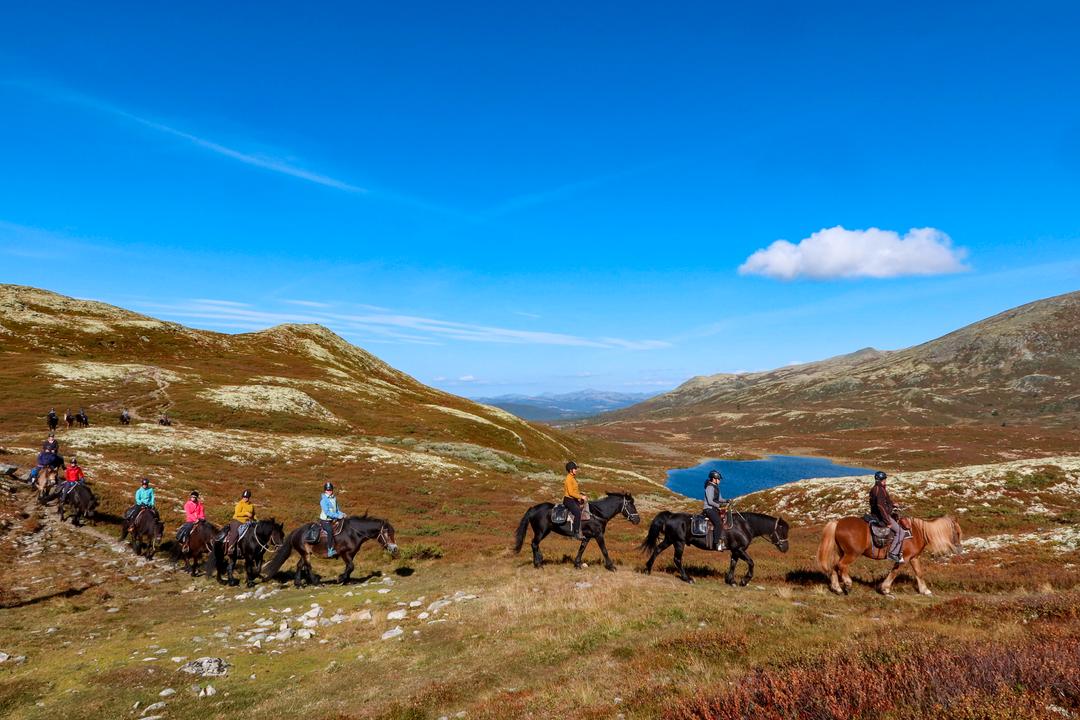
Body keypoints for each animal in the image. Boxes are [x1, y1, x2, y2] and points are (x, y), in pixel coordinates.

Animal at [261, 515, 401, 587]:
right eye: (387, 533)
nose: (394, 548)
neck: (353, 533)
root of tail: (296, 531)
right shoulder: (344, 553)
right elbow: (351, 566)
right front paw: (340, 579)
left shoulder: (351, 554)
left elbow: (350, 567)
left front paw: (346, 580)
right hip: (305, 553)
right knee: (308, 566)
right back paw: (316, 582)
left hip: (305, 553)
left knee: (300, 565)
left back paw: (298, 583)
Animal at [635, 509, 790, 582]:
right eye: (781, 531)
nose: (785, 548)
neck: (744, 526)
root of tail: (670, 516)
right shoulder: (739, 549)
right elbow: (751, 563)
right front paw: (744, 581)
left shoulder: (735, 551)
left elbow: (733, 564)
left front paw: (731, 580)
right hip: (679, 542)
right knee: (677, 559)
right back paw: (687, 578)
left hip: (669, 540)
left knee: (657, 550)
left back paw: (648, 569)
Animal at [816, 518, 963, 595]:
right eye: (957, 532)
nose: (960, 549)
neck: (918, 532)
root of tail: (837, 523)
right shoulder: (904, 559)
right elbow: (894, 572)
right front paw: (885, 588)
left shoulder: (914, 558)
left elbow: (919, 573)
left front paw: (925, 590)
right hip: (851, 554)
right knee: (841, 566)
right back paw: (847, 584)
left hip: (841, 552)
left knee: (834, 567)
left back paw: (837, 588)